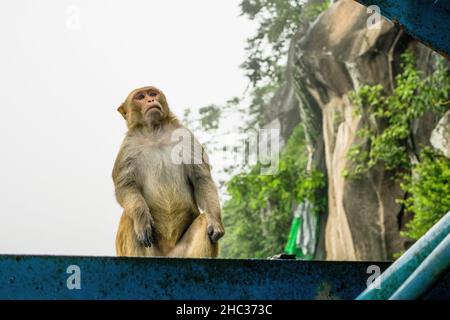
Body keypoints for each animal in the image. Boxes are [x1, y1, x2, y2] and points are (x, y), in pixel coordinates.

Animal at [113, 85, 224, 258]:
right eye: (140, 97)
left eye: (152, 93)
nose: (151, 100)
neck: (154, 133)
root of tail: (166, 254)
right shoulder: (128, 148)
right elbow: (125, 187)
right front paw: (142, 220)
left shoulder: (187, 137)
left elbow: (201, 178)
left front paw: (216, 223)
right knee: (129, 216)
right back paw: (139, 221)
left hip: (180, 253)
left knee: (205, 221)